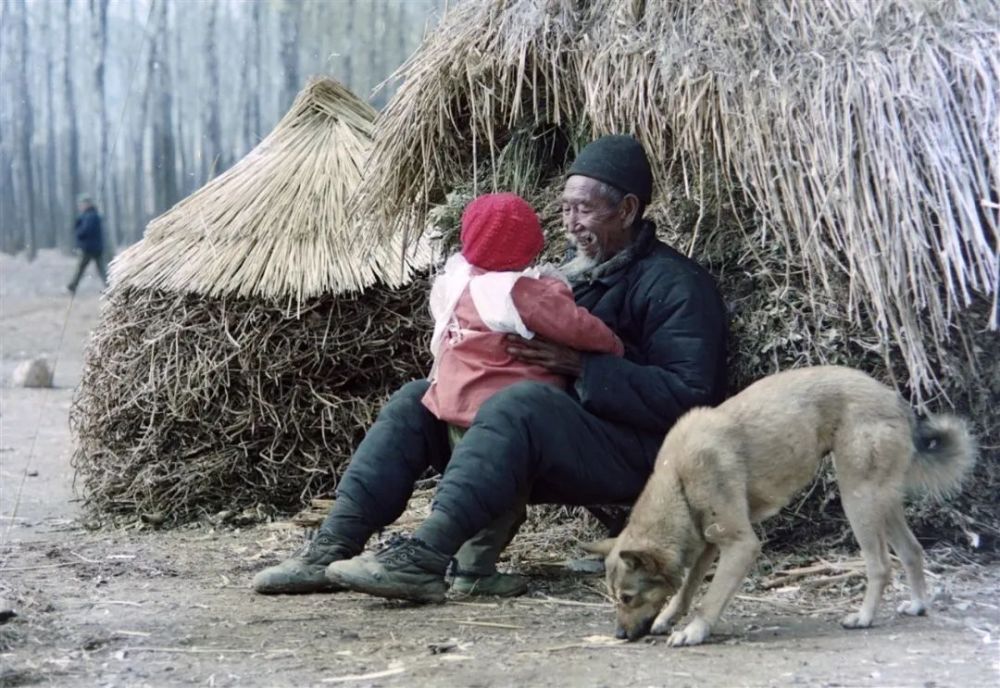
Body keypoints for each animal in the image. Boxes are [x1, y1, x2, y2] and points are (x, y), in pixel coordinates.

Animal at [588, 366, 972, 644]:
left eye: (626, 597)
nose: (619, 635)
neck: (678, 478)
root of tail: (895, 400)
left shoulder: (741, 545)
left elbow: (710, 598)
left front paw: (694, 631)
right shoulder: (708, 544)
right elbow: (686, 589)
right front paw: (670, 617)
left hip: (857, 500)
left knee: (881, 566)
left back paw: (864, 618)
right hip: (881, 501)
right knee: (911, 551)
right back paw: (919, 604)